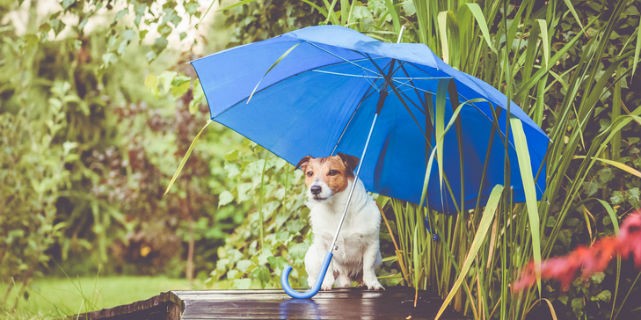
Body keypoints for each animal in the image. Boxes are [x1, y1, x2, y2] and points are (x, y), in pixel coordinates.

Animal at [296, 152, 382, 290]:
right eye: (309, 173)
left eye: (332, 172)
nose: (315, 189)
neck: (337, 211)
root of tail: (344, 277)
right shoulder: (322, 245)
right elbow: (327, 269)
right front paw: (326, 283)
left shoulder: (371, 245)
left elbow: (368, 267)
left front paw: (373, 283)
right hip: (311, 257)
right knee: (313, 277)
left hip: (379, 257)